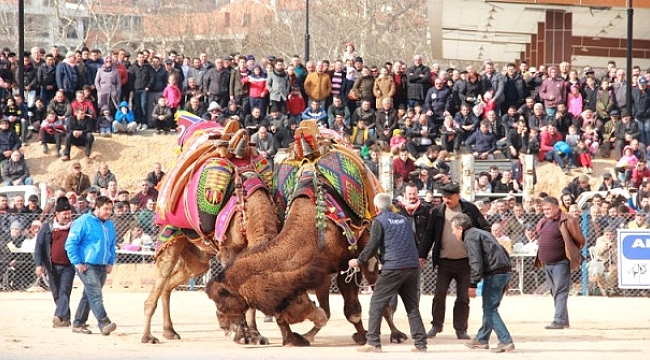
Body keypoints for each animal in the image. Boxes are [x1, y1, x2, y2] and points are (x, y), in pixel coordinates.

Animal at [140, 119, 274, 344]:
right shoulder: (229, 249)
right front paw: (241, 333)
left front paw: (255, 334)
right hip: (171, 237)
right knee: (159, 284)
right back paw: (148, 336)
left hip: (198, 258)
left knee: (171, 284)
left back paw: (169, 330)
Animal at [205, 121, 404, 346]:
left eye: (223, 301)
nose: (223, 325)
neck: (315, 233)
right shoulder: (319, 271)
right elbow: (326, 311)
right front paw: (301, 337)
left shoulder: (347, 262)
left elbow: (352, 309)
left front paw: (363, 336)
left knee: (379, 289)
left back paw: (396, 334)